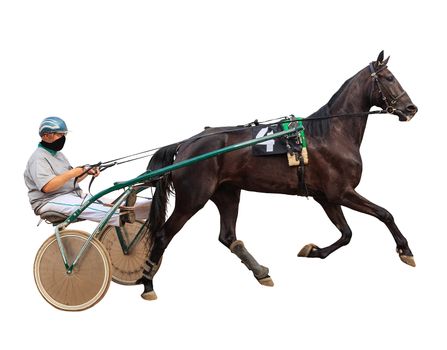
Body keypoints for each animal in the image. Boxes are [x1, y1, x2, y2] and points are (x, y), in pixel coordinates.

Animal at [139, 52, 416, 300]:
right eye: (389, 78)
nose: (411, 108)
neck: (332, 132)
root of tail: (186, 143)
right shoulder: (341, 192)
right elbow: (384, 214)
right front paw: (405, 250)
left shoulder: (326, 197)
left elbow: (346, 234)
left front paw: (312, 251)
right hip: (193, 198)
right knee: (163, 235)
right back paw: (147, 283)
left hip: (227, 193)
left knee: (228, 236)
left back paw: (261, 272)